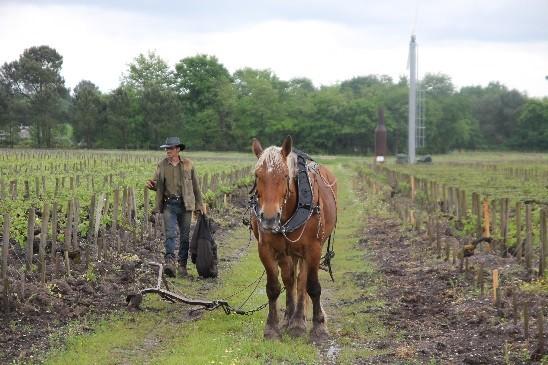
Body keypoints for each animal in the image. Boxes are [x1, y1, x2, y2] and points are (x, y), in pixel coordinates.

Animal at [250, 135, 336, 340]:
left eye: (284, 176)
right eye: (257, 175)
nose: (269, 218)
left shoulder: (313, 249)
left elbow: (312, 286)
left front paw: (319, 327)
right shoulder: (266, 250)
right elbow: (274, 287)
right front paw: (272, 328)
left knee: (301, 280)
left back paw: (298, 321)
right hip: (286, 252)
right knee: (290, 278)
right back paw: (290, 318)